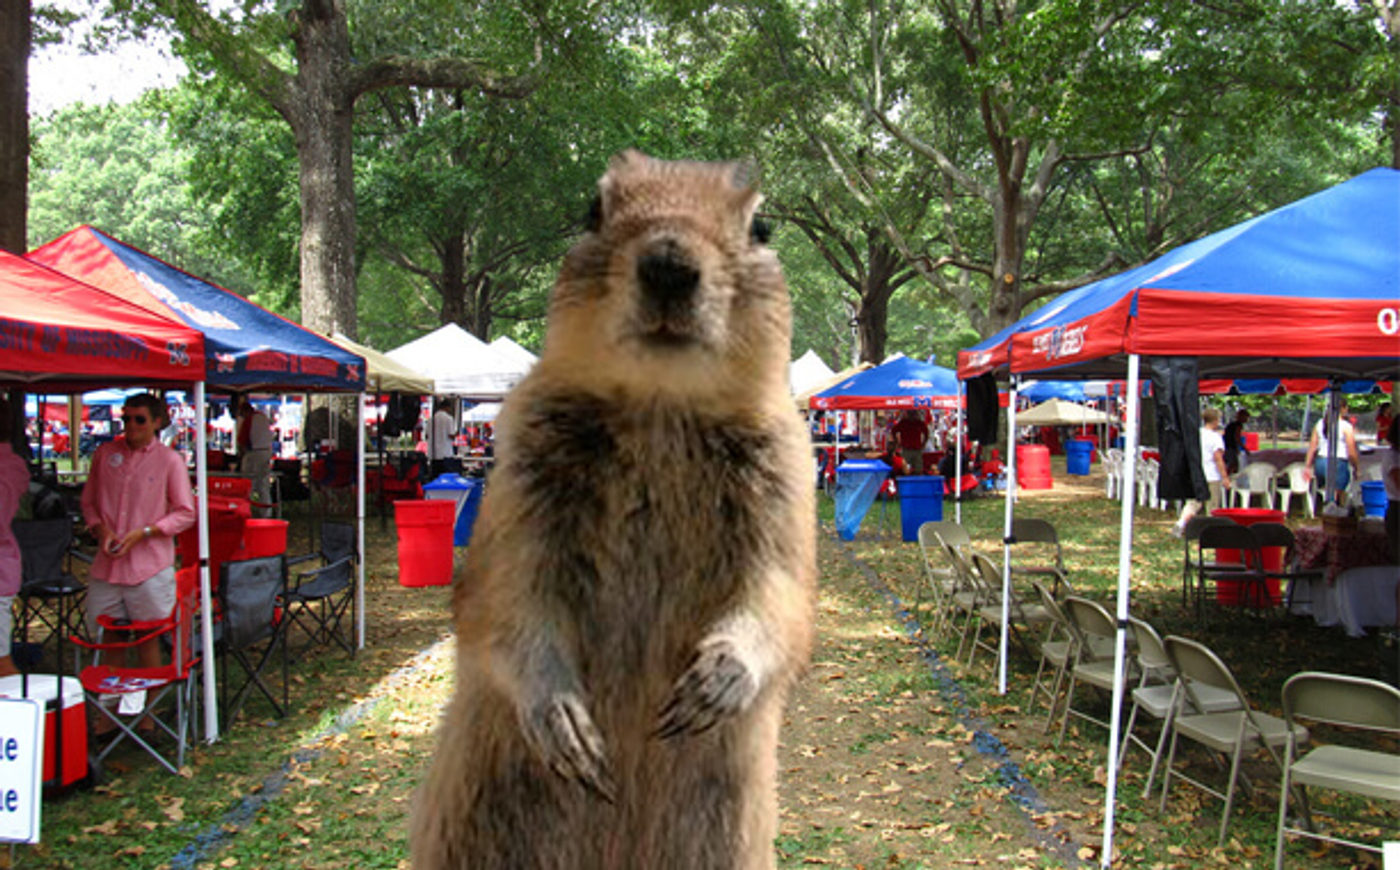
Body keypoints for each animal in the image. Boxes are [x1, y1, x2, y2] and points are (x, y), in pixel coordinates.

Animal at [411, 151, 817, 869]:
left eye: (761, 225)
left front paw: (717, 681)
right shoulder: (522, 472)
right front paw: (565, 725)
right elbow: (506, 595)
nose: (668, 264)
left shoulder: (787, 479)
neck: (661, 404)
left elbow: (780, 593)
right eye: (591, 209)